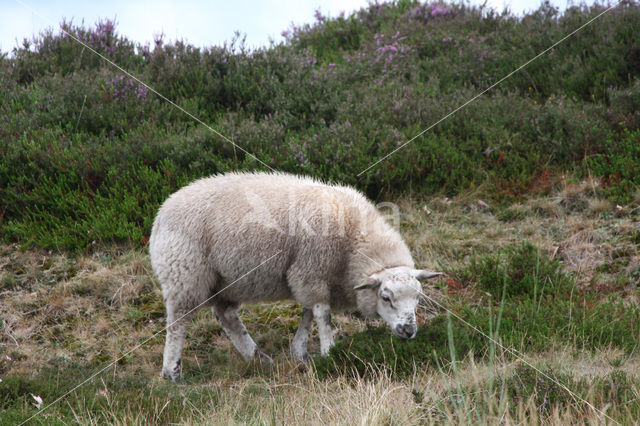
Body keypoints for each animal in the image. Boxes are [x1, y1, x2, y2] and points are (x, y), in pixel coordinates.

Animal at [149, 171, 440, 382]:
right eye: (386, 297)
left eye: (418, 298)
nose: (409, 331)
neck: (354, 242)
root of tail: (161, 213)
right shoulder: (312, 270)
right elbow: (322, 314)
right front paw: (329, 351)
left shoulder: (313, 277)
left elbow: (308, 312)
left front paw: (300, 352)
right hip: (185, 273)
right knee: (179, 322)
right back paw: (172, 371)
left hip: (227, 281)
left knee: (226, 316)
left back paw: (257, 358)